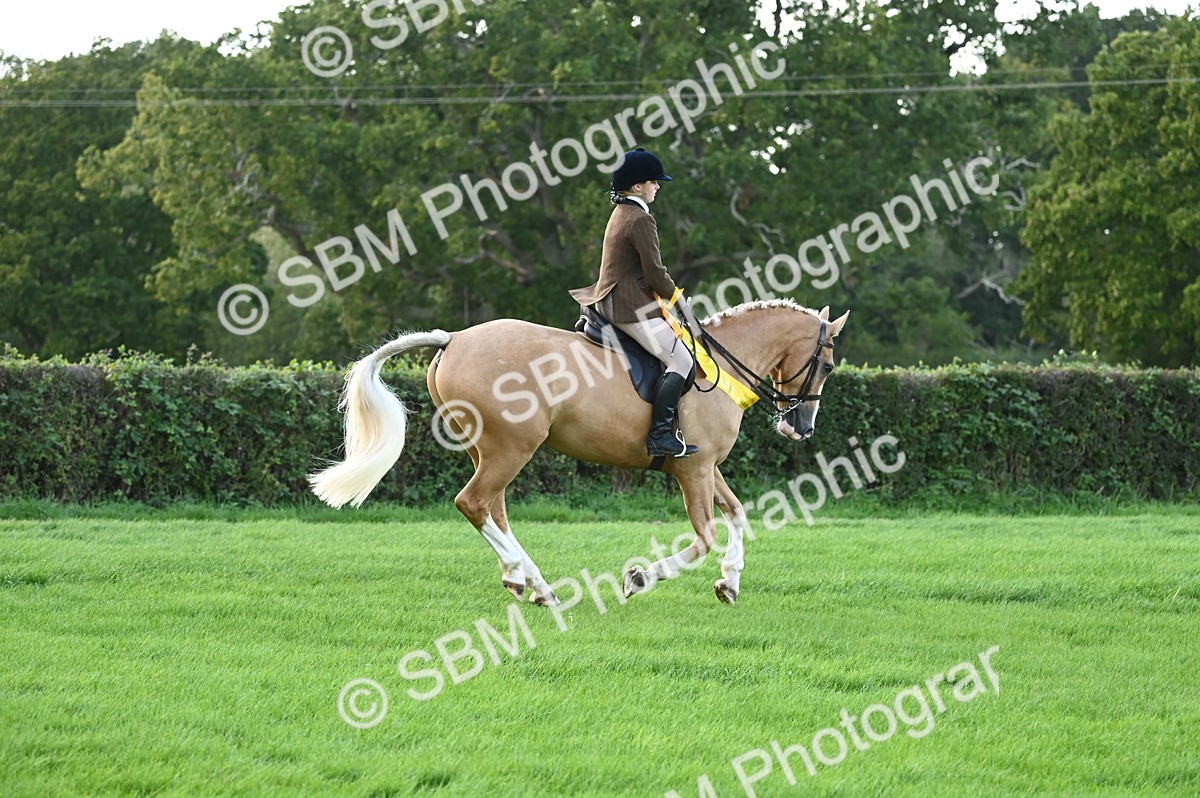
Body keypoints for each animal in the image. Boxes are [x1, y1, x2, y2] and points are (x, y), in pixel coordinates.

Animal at [309, 299, 848, 606]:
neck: (721, 368)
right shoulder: (692, 468)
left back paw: (522, 579)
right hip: (511, 448)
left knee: (493, 509)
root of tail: (454, 338)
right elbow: (704, 538)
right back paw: (539, 586)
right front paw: (639, 578)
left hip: (488, 451)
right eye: (827, 364)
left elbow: (737, 515)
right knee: (474, 503)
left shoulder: (705, 464)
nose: (800, 427)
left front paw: (730, 583)